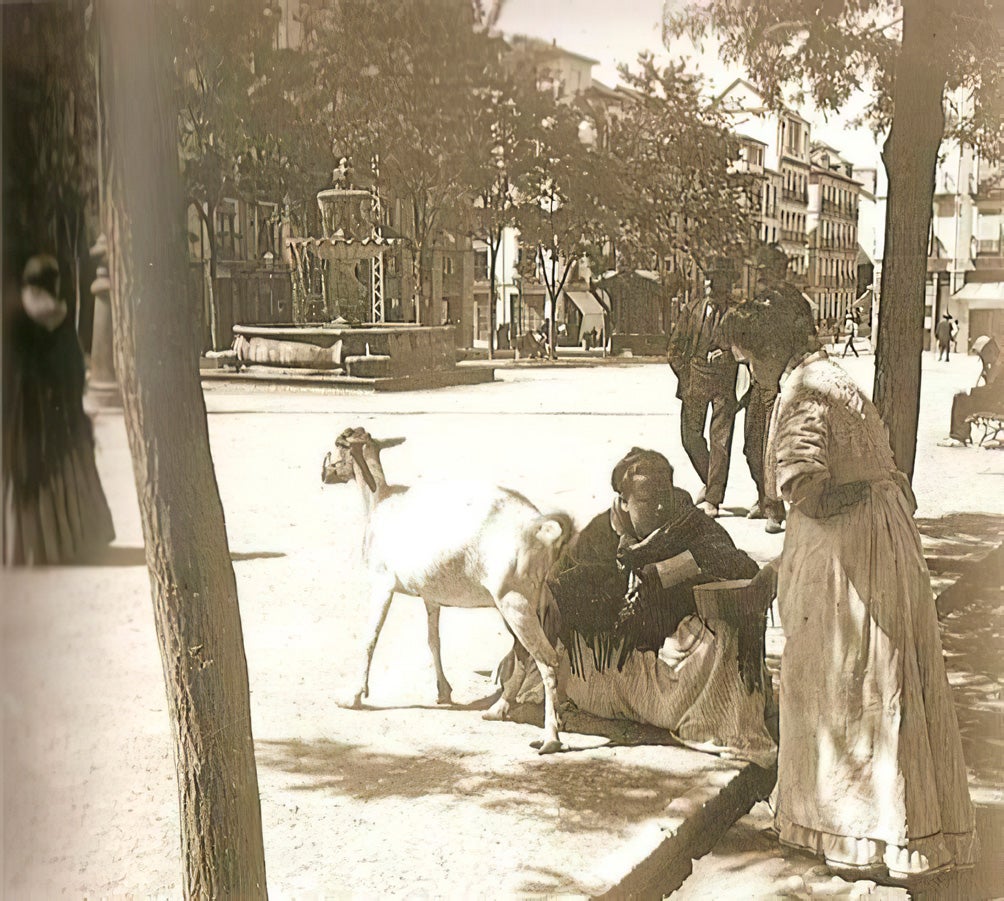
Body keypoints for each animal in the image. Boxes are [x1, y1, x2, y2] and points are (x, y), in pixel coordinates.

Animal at [321, 425, 574, 747]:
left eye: (339, 444)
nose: (325, 474)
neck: (382, 501)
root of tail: (541, 527)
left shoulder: (382, 583)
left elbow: (370, 638)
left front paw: (352, 696)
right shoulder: (431, 596)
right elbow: (433, 640)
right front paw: (443, 691)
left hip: (514, 601)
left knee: (547, 660)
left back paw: (550, 737)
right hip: (533, 600)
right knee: (526, 652)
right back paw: (499, 709)